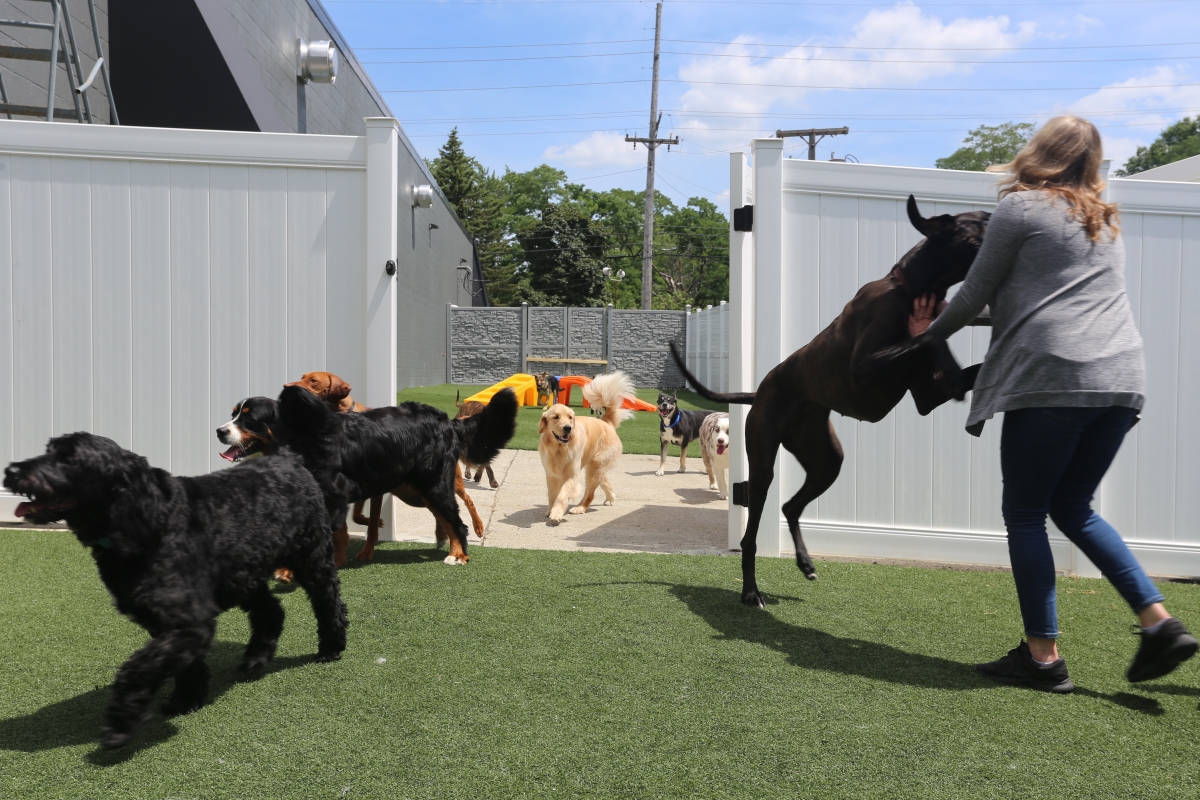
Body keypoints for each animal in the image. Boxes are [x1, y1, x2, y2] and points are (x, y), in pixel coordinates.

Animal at [2, 431, 348, 753]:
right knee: (271, 610)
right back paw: (256, 659)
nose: (12, 470)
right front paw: (187, 699)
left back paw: (331, 647)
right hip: (240, 575)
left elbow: (138, 668)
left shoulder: (188, 622)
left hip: (311, 557)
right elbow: (182, 664)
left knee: (329, 601)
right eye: (48, 449)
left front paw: (119, 725)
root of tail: (289, 458)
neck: (148, 520)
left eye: (70, 458)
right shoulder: (170, 622)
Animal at [276, 386, 520, 563]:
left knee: (458, 521)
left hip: (434, 486)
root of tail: (448, 422)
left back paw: (459, 555)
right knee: (449, 519)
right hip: (421, 492)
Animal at [540, 371, 638, 522]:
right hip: (595, 467)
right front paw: (550, 510)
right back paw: (610, 498)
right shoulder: (551, 474)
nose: (568, 428)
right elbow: (552, 495)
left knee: (590, 494)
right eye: (555, 417)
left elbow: (562, 495)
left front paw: (556, 513)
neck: (559, 448)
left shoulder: (572, 476)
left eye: (570, 417)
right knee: (604, 480)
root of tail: (606, 422)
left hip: (595, 467)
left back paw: (580, 508)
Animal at [672, 195, 988, 606]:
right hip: (763, 462)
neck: (906, 286)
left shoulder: (927, 396)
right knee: (751, 534)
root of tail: (760, 390)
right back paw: (751, 591)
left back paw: (805, 562)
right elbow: (931, 337)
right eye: (984, 220)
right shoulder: (864, 369)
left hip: (825, 458)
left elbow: (954, 362)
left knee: (791, 505)